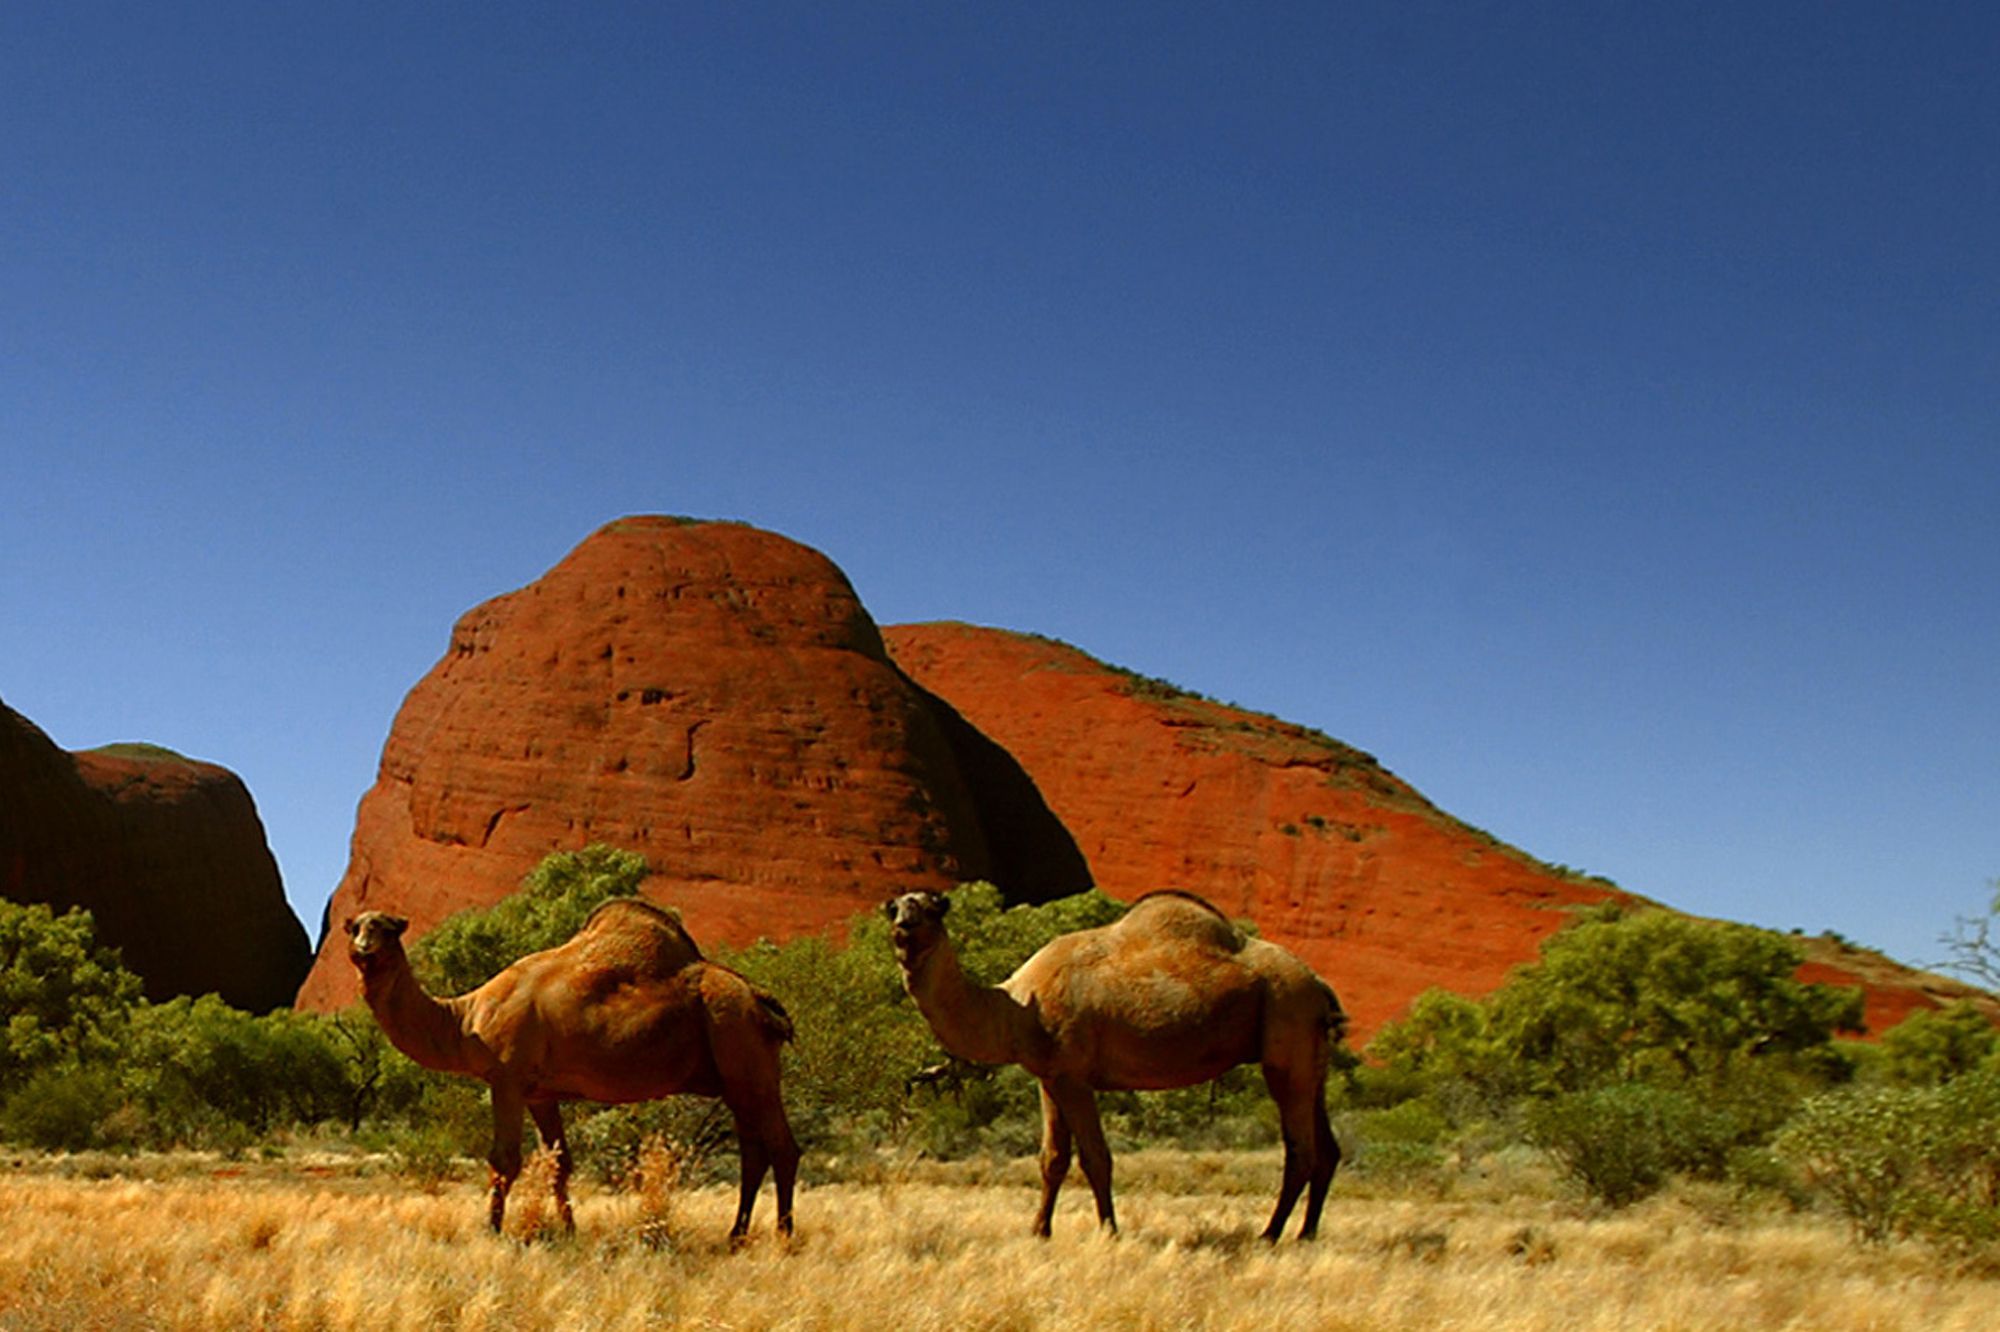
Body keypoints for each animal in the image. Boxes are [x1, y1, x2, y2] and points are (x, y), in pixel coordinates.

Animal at [348, 896, 800, 1240]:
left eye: (388, 928)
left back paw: (782, 1238)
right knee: (754, 1151)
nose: (363, 949)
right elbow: (560, 1163)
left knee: (781, 1147)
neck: (467, 1019)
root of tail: (760, 999)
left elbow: (504, 1159)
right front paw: (569, 1231)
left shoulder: (507, 1079)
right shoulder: (540, 1092)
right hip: (740, 1074)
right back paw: (736, 1236)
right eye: (354, 927)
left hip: (743, 1051)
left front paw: (491, 1231)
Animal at [888, 880, 1344, 1232]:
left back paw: (1270, 1235)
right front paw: (1039, 1232)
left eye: (933, 907)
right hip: (1312, 1055)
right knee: (1328, 1149)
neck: (1016, 1007)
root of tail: (1319, 985)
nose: (902, 925)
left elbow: (1095, 1158)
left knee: (1300, 1150)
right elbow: (1052, 1159)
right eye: (894, 906)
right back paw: (1306, 1236)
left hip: (1286, 1021)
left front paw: (1109, 1231)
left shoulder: (1073, 1076)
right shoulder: (1048, 1077)